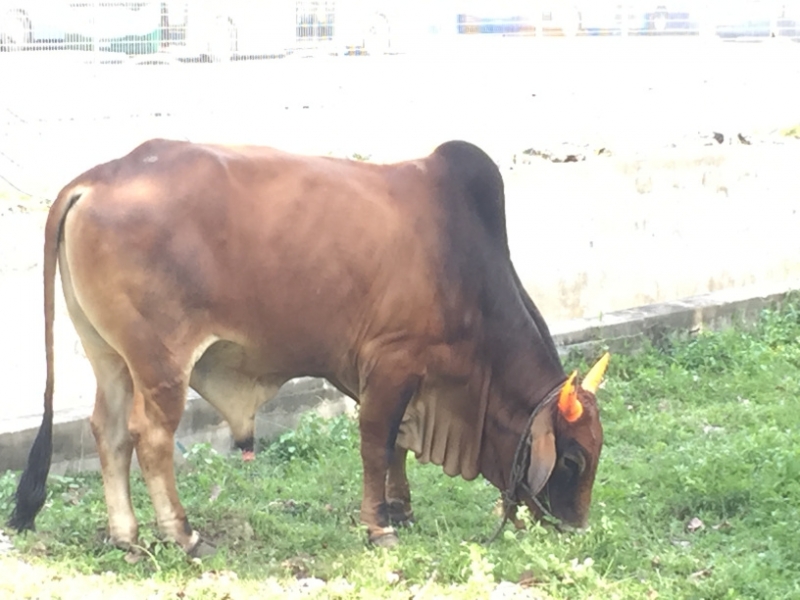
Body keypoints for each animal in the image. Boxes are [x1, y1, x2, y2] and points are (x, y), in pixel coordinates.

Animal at [8, 138, 608, 555]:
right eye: (573, 458)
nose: (577, 528)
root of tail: (97, 179)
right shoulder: (391, 363)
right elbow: (377, 444)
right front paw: (379, 526)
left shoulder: (404, 378)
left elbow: (398, 446)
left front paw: (400, 509)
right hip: (160, 363)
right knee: (150, 437)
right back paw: (182, 534)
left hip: (108, 355)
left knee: (108, 434)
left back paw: (126, 536)